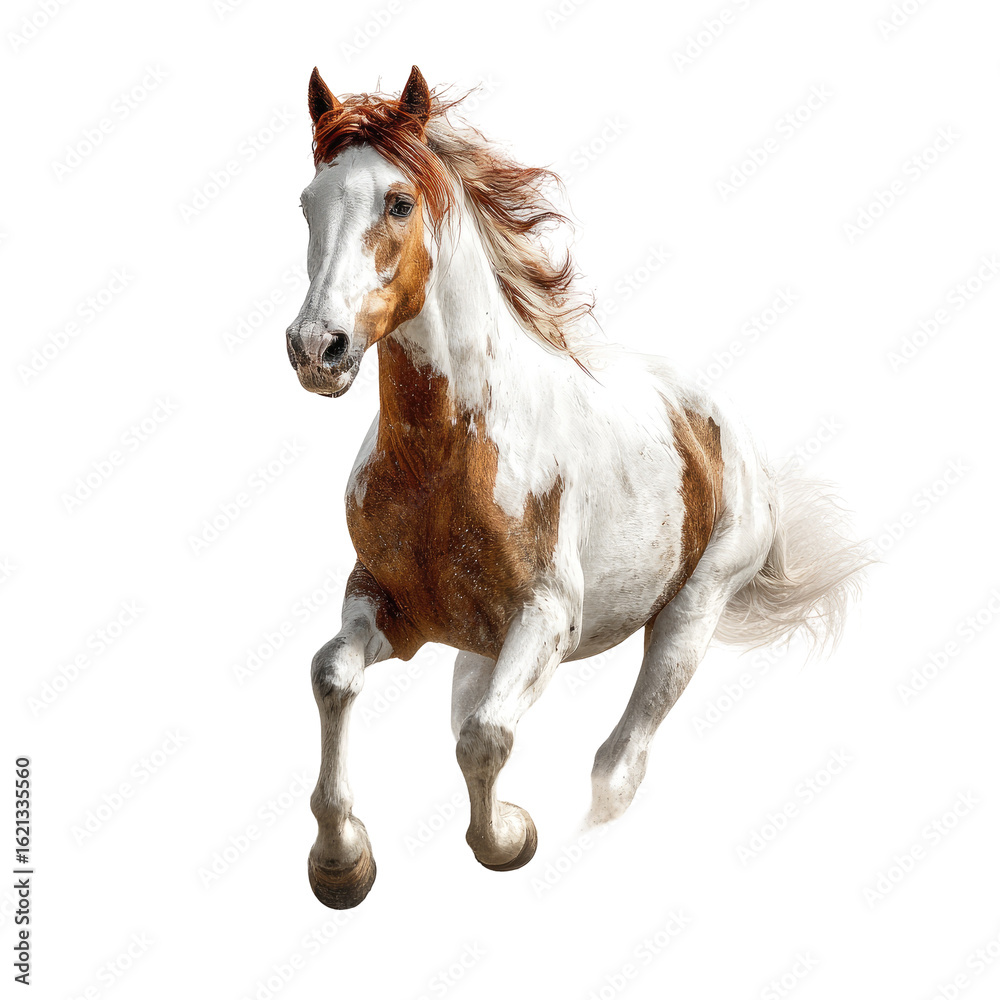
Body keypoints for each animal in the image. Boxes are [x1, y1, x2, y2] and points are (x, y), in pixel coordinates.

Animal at [284, 65, 870, 909]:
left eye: (398, 202)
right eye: (308, 201)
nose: (316, 349)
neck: (445, 459)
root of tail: (721, 423)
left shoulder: (548, 619)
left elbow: (486, 739)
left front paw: (509, 838)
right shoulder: (386, 605)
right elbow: (333, 677)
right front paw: (341, 863)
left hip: (690, 618)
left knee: (615, 767)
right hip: (478, 649)